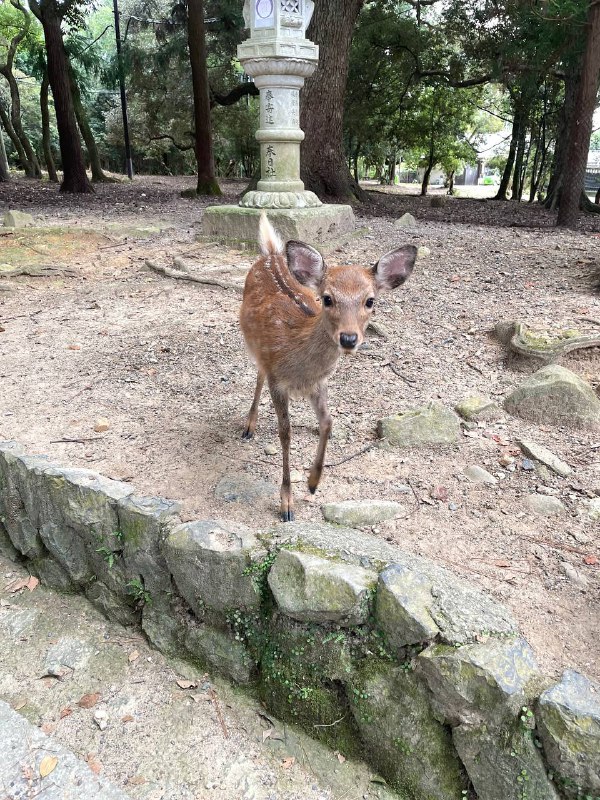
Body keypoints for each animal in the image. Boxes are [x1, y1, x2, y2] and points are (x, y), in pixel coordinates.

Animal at [238, 214, 412, 524]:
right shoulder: (277, 379)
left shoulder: (318, 384)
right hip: (253, 346)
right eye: (328, 298)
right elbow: (285, 432)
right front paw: (286, 504)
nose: (349, 338)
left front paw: (313, 482)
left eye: (370, 301)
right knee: (257, 375)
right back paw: (249, 425)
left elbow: (328, 422)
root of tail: (271, 254)